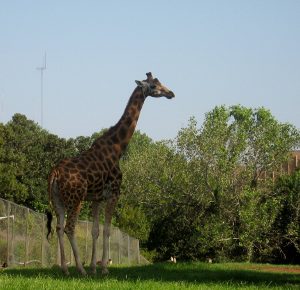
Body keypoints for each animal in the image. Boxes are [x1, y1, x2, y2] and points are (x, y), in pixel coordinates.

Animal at [45, 72, 175, 274]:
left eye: (160, 82)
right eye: (154, 86)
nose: (171, 93)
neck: (118, 148)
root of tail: (55, 174)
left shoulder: (97, 198)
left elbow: (95, 231)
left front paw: (94, 268)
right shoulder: (114, 193)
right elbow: (106, 230)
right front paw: (104, 268)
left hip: (58, 199)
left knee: (59, 228)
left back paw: (65, 269)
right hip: (76, 198)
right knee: (69, 228)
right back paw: (79, 269)